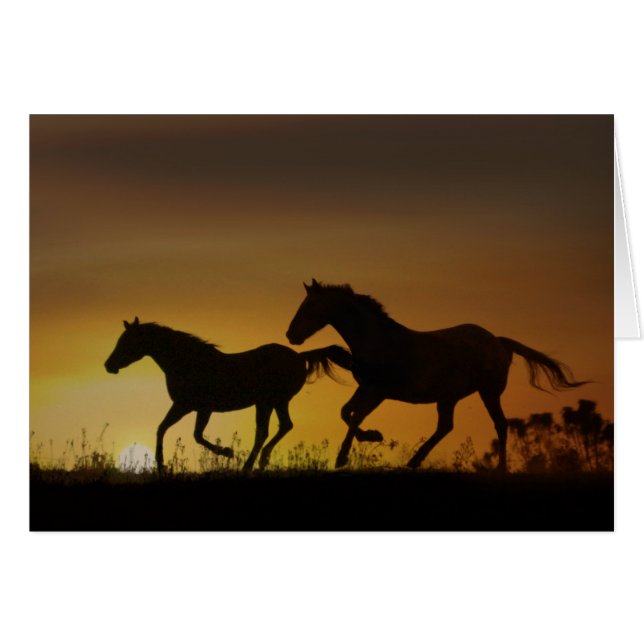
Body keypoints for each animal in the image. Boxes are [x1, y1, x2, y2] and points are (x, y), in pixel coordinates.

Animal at [104, 317, 352, 473]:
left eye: (127, 341)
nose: (108, 365)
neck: (188, 363)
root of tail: (300, 357)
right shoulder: (183, 406)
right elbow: (162, 428)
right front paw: (161, 465)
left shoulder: (198, 407)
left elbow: (196, 435)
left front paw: (227, 452)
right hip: (276, 402)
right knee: (284, 426)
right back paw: (261, 461)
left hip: (267, 402)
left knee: (264, 432)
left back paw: (249, 465)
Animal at [286, 279, 589, 470]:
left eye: (309, 306)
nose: (291, 335)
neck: (377, 340)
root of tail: (499, 342)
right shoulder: (366, 388)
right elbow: (345, 412)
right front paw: (363, 442)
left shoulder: (379, 392)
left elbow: (355, 416)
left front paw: (351, 451)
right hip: (449, 397)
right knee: (445, 427)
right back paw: (413, 461)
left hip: (488, 391)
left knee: (501, 425)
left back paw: (500, 468)